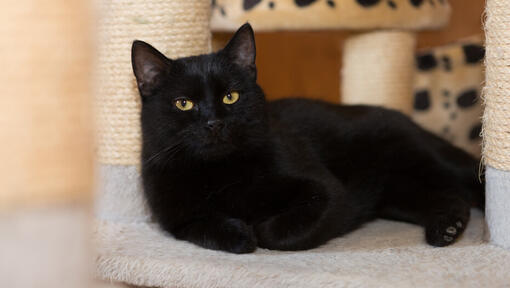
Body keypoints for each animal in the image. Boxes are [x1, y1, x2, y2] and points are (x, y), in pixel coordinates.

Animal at [130, 24, 482, 254]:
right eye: (184, 103)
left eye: (230, 96)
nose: (214, 123)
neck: (219, 173)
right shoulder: (179, 221)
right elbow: (206, 229)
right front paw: (240, 234)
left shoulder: (327, 192)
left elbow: (278, 233)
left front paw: (258, 229)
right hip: (401, 194)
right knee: (448, 196)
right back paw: (446, 229)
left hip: (426, 160)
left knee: (467, 184)